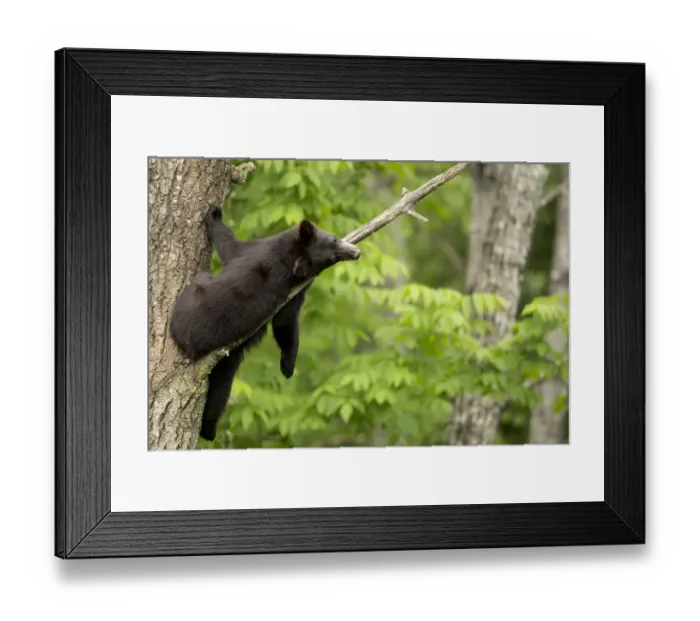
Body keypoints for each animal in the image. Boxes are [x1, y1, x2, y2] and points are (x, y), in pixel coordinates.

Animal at [169, 203, 362, 442]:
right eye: (333, 242)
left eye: (331, 258)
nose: (356, 253)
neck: (289, 256)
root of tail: (191, 344)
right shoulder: (292, 286)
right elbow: (284, 323)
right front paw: (288, 367)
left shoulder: (282, 279)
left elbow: (231, 247)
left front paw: (214, 215)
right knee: (220, 390)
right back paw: (209, 430)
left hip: (193, 296)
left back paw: (208, 431)